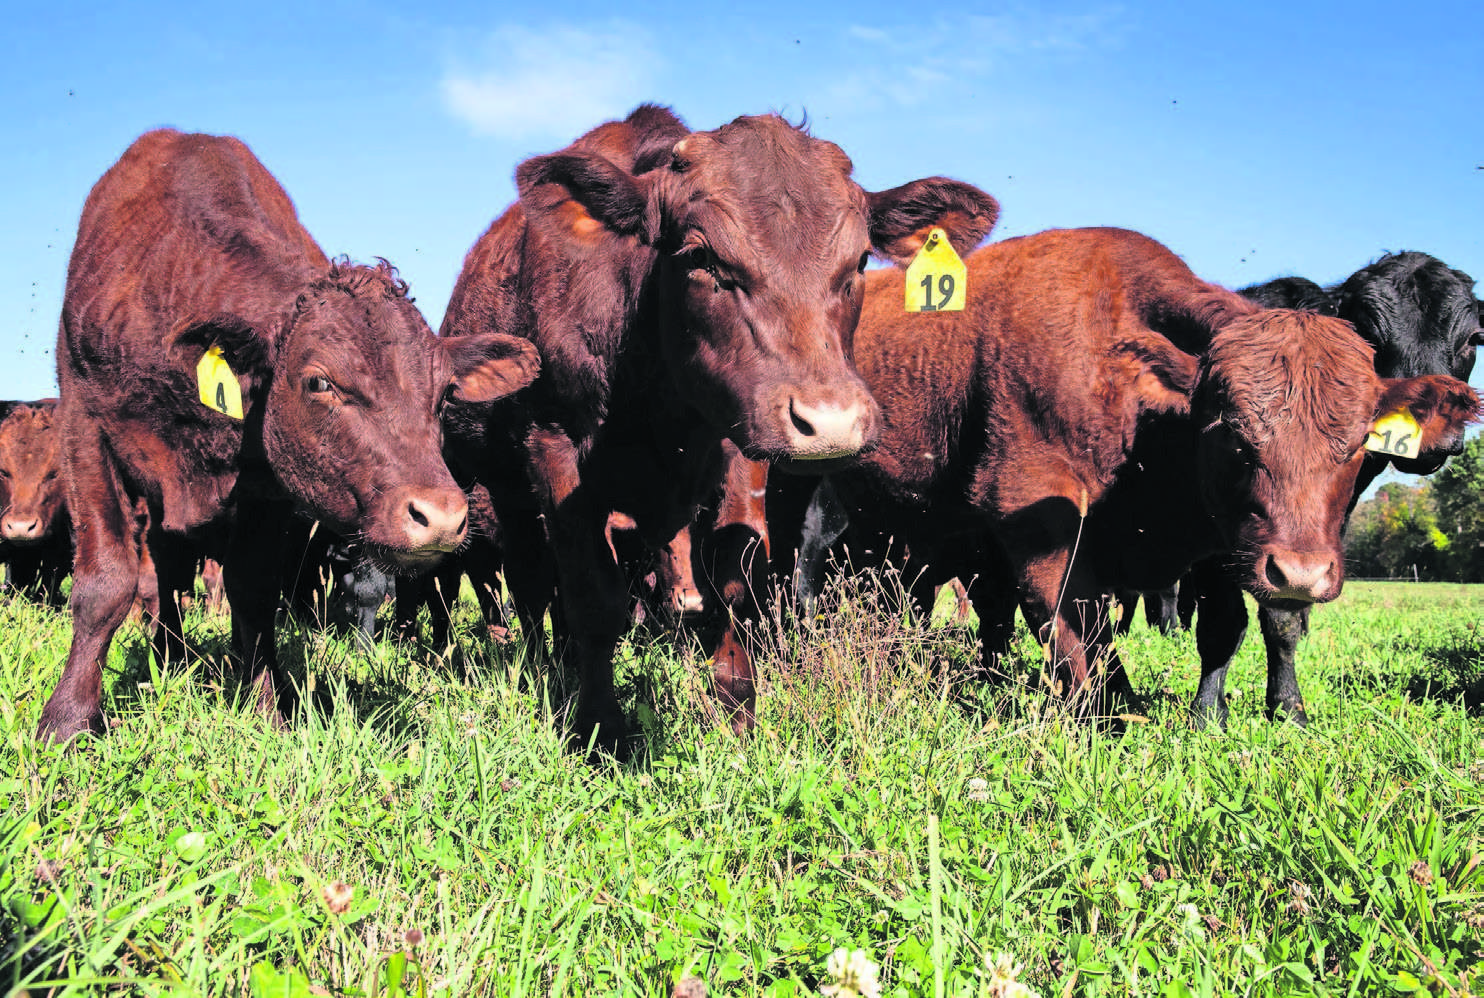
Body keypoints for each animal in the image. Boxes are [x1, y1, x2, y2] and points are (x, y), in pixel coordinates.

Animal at [35, 129, 540, 743]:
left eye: (444, 393)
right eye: (319, 381)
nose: (441, 516)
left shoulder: (269, 484)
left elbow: (253, 591)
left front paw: (265, 709)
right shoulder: (84, 428)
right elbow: (105, 583)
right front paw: (67, 720)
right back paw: (167, 656)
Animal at [439, 104, 999, 753]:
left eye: (860, 260)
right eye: (700, 257)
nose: (830, 421)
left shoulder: (741, 442)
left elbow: (736, 581)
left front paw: (737, 714)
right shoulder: (552, 445)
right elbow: (589, 595)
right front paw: (601, 728)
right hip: (503, 485)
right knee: (532, 586)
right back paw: (544, 662)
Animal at [799, 228, 1478, 715]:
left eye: (1358, 442)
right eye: (1231, 434)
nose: (1302, 573)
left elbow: (1246, 623)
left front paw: (1268, 711)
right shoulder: (1030, 507)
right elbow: (1077, 622)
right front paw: (1125, 711)